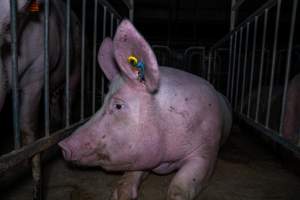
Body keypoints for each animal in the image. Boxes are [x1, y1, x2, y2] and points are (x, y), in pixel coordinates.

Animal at [58, 19, 232, 200]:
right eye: (102, 101)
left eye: (118, 105)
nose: (62, 145)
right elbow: (134, 172)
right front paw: (119, 195)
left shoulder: (207, 151)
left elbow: (181, 185)